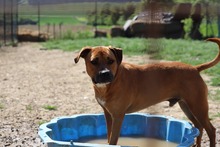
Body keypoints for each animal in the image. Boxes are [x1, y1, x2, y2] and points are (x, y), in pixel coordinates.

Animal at [74, 38, 218, 147]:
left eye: (111, 61)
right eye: (94, 61)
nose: (105, 73)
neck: (109, 85)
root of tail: (195, 68)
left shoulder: (118, 116)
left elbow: (113, 140)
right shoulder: (108, 114)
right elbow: (109, 138)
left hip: (198, 106)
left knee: (211, 130)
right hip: (187, 106)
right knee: (199, 127)